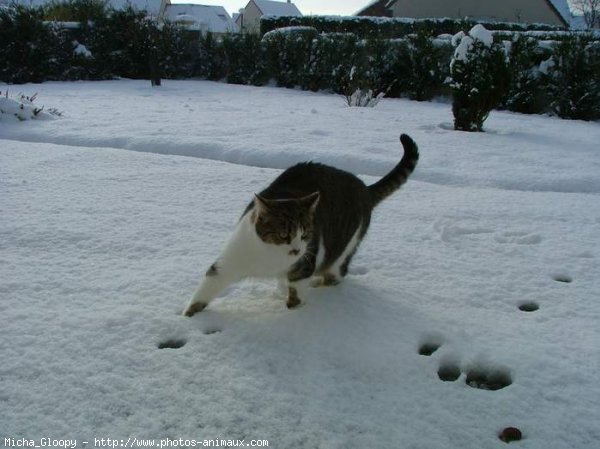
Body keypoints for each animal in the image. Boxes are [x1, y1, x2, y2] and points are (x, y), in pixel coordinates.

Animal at [180, 133, 420, 316]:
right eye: (283, 235)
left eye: (305, 234)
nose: (296, 250)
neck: (271, 257)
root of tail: (364, 188)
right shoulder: (231, 260)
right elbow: (207, 287)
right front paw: (189, 316)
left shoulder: (305, 263)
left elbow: (296, 295)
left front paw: (295, 312)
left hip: (343, 248)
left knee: (337, 273)